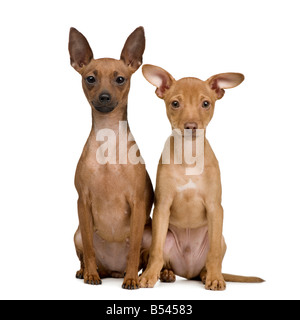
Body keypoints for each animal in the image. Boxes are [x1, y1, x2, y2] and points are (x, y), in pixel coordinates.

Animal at [69, 26, 154, 288]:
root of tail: (114, 270)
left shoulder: (137, 204)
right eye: (90, 79)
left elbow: (134, 248)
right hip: (77, 233)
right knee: (86, 253)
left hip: (150, 232)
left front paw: (132, 280)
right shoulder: (83, 203)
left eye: (120, 79)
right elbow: (89, 247)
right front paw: (90, 275)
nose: (105, 97)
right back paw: (87, 271)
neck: (107, 142)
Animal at [139, 64, 264, 290]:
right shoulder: (162, 207)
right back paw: (166, 274)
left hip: (221, 238)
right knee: (163, 257)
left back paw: (208, 275)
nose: (191, 126)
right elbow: (155, 251)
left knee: (209, 261)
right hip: (166, 237)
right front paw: (149, 275)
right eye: (175, 103)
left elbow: (213, 254)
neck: (189, 156)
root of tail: (189, 273)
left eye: (206, 103)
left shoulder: (215, 208)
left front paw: (215, 278)